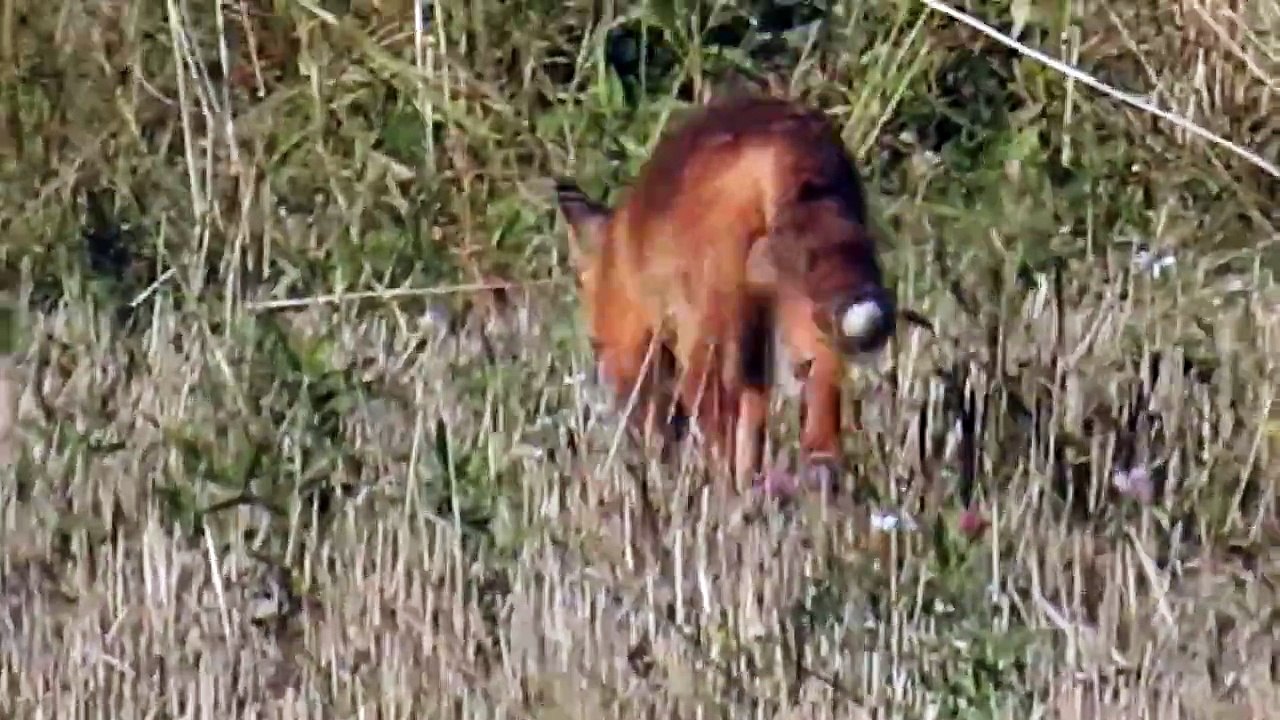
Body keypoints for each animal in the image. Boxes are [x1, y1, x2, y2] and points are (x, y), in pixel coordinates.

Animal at [555, 94, 897, 492]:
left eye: (596, 344)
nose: (615, 410)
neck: (623, 254)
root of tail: (779, 140)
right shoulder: (755, 345)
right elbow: (752, 432)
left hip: (707, 344)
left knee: (717, 436)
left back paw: (716, 494)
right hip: (808, 319)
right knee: (821, 436)